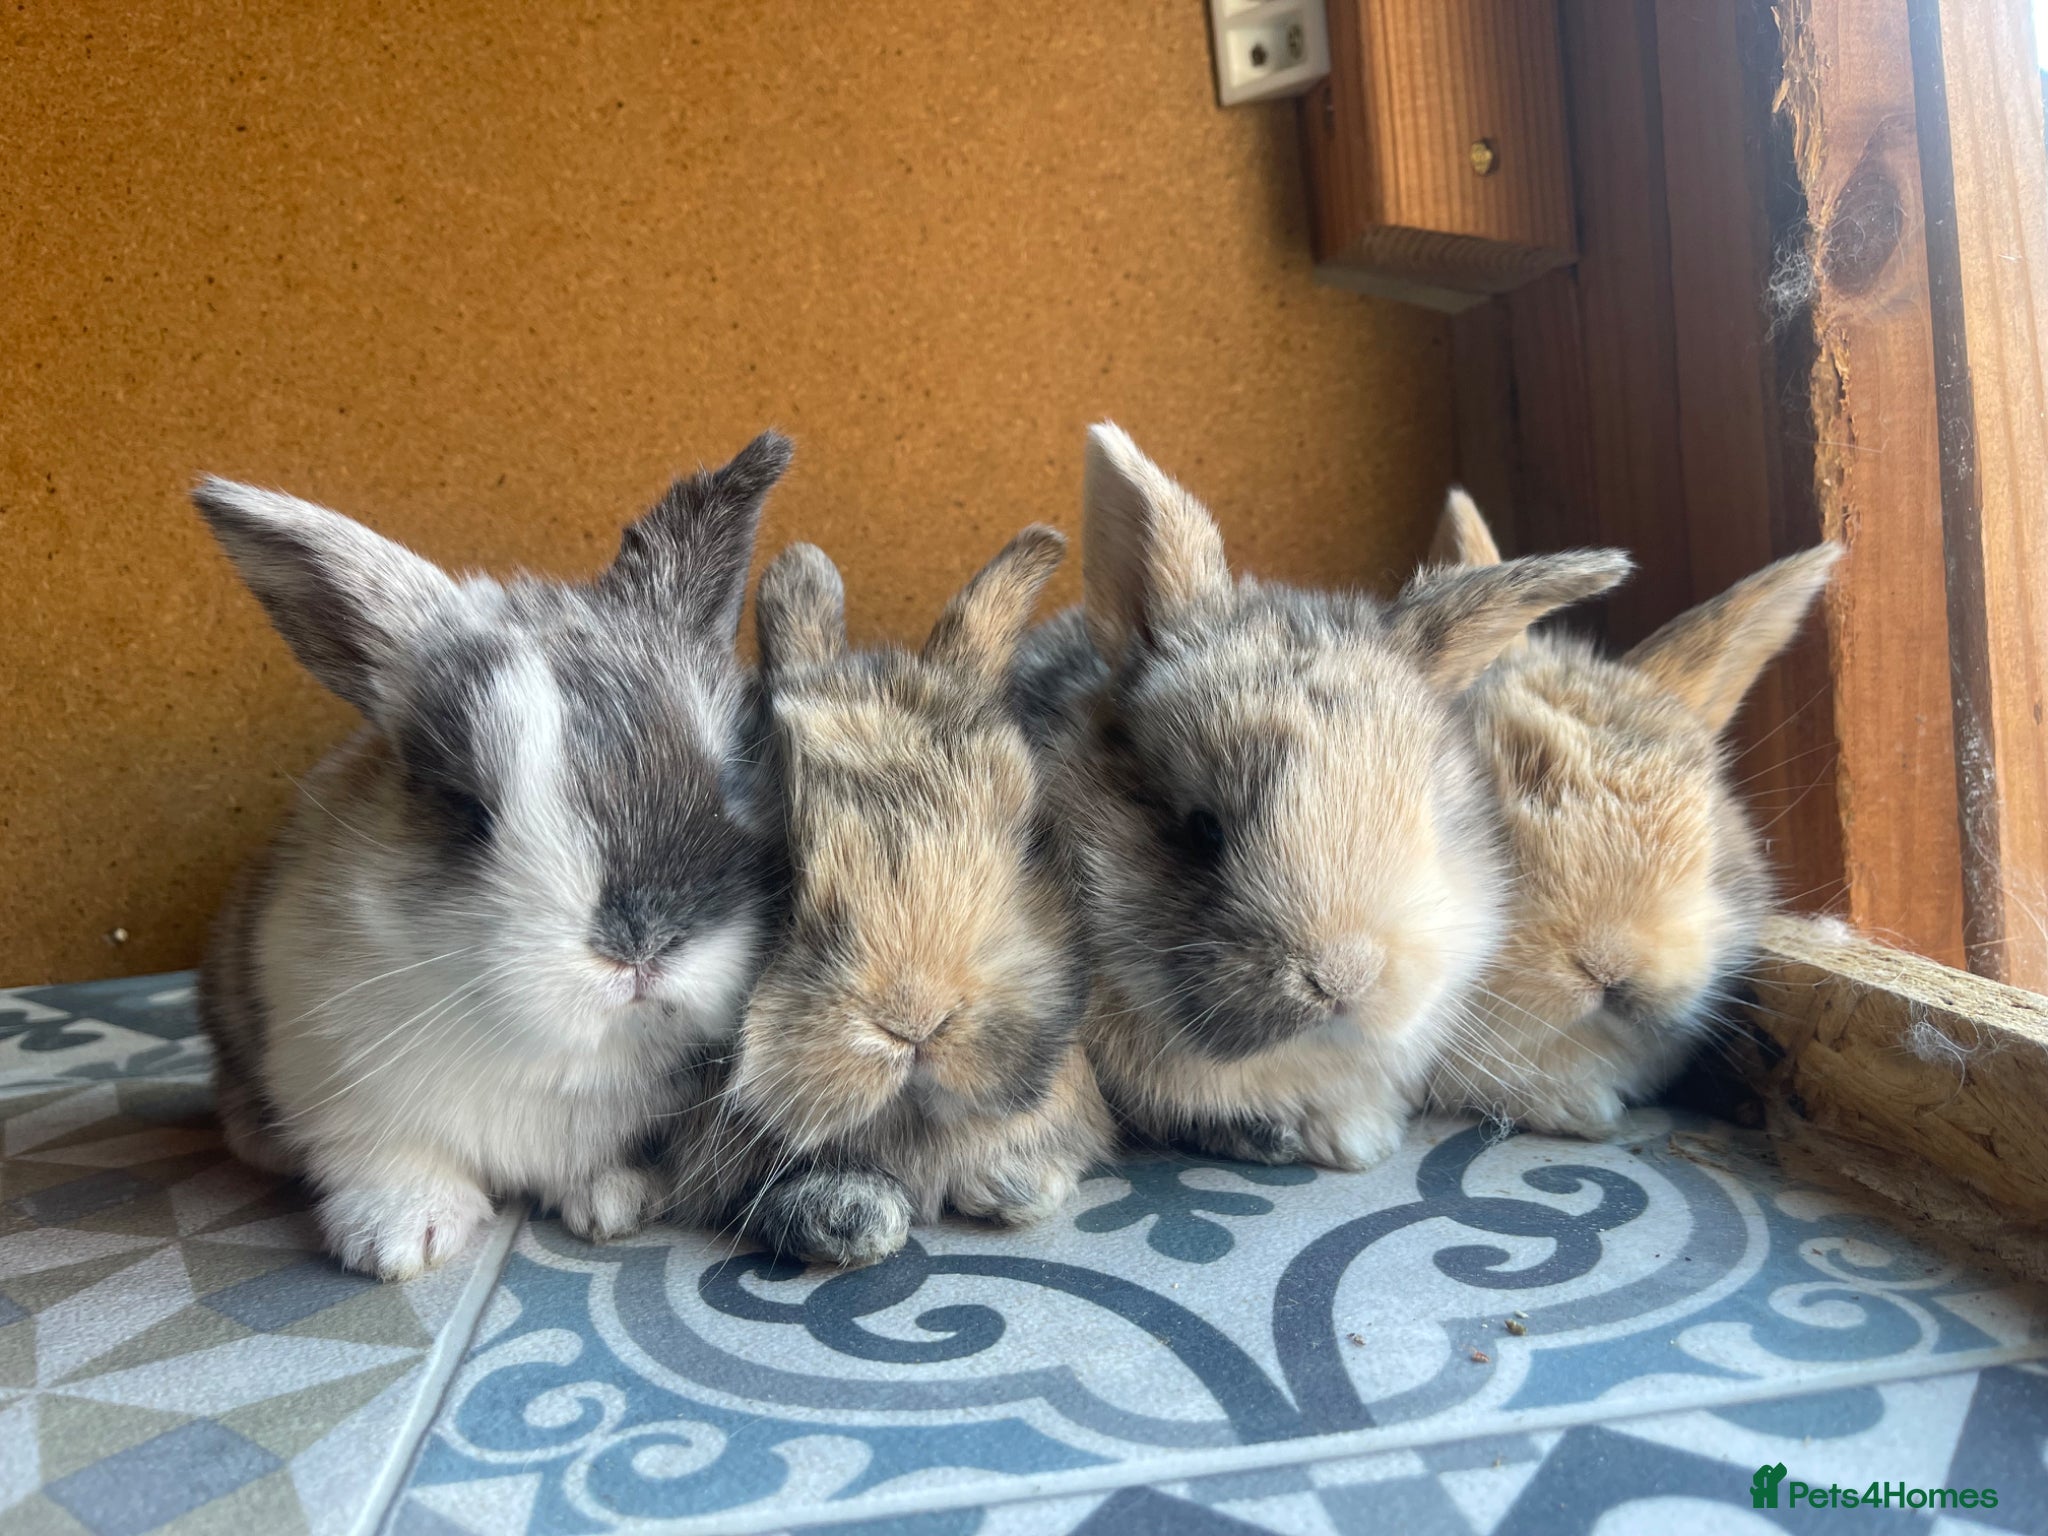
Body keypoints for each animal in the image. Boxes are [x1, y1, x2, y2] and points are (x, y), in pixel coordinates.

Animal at [192, 433, 792, 1279]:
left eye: (733, 774)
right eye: (465, 805)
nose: (640, 949)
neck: (558, 1054)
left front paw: (612, 1202)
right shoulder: (333, 1076)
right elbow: (384, 1158)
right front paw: (400, 1241)